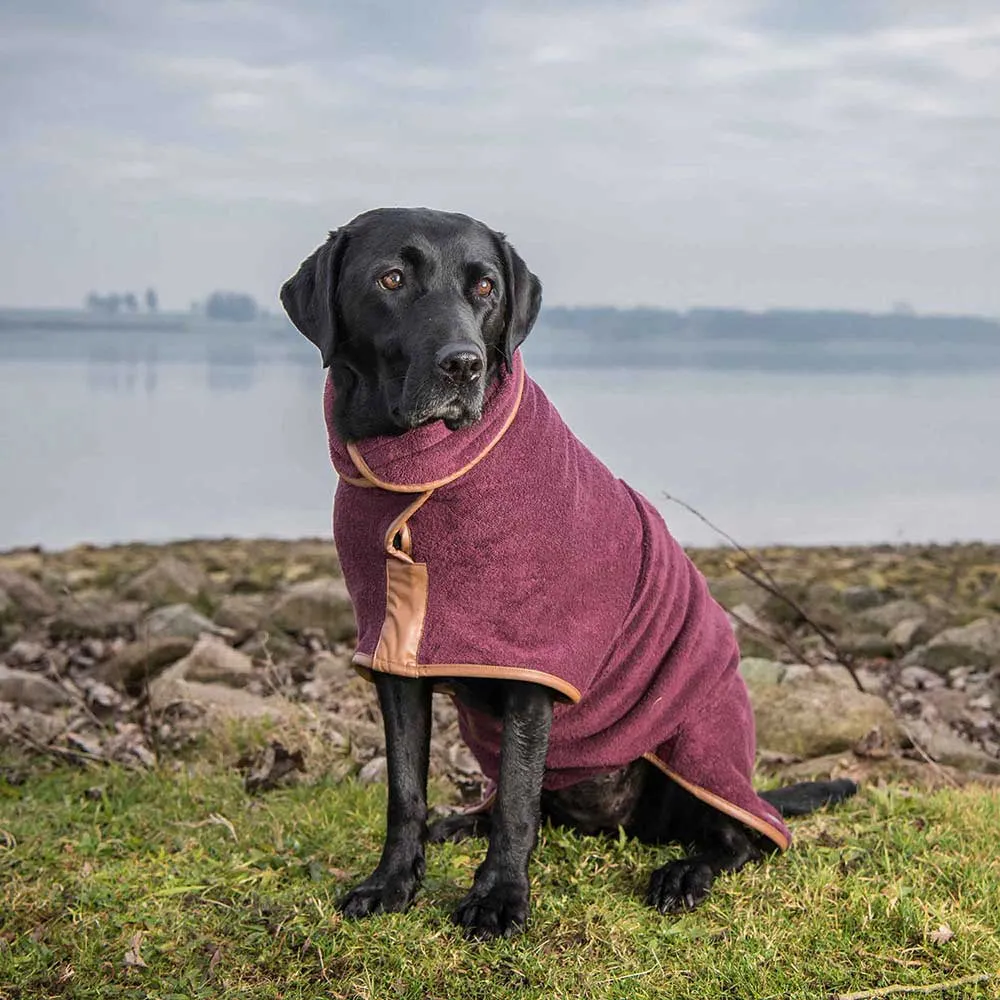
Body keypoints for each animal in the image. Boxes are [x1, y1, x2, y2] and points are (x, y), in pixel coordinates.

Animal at [280, 207, 852, 940]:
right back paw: (462, 824)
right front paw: (391, 883)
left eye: (486, 287)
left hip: (696, 746)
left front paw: (499, 898)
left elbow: (519, 802)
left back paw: (683, 872)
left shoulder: (533, 665)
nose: (463, 364)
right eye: (391, 279)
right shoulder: (393, 654)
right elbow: (406, 790)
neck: (424, 472)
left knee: (741, 837)